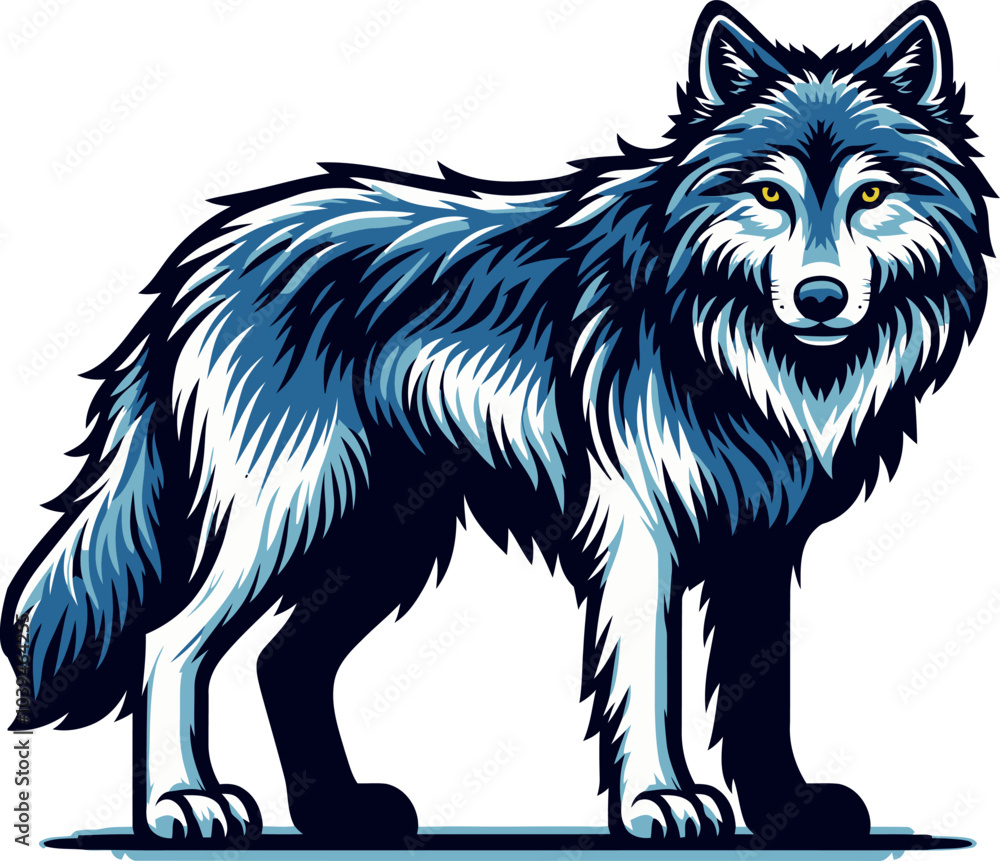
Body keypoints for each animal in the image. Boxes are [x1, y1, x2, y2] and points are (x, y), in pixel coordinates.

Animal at [3, 0, 991, 846]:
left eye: (872, 197)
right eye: (770, 196)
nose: (821, 297)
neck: (740, 348)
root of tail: (196, 257)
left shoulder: (762, 542)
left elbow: (761, 688)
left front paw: (786, 810)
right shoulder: (640, 529)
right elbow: (650, 677)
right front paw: (659, 802)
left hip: (375, 539)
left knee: (283, 661)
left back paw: (341, 816)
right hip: (286, 513)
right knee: (170, 642)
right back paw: (184, 805)